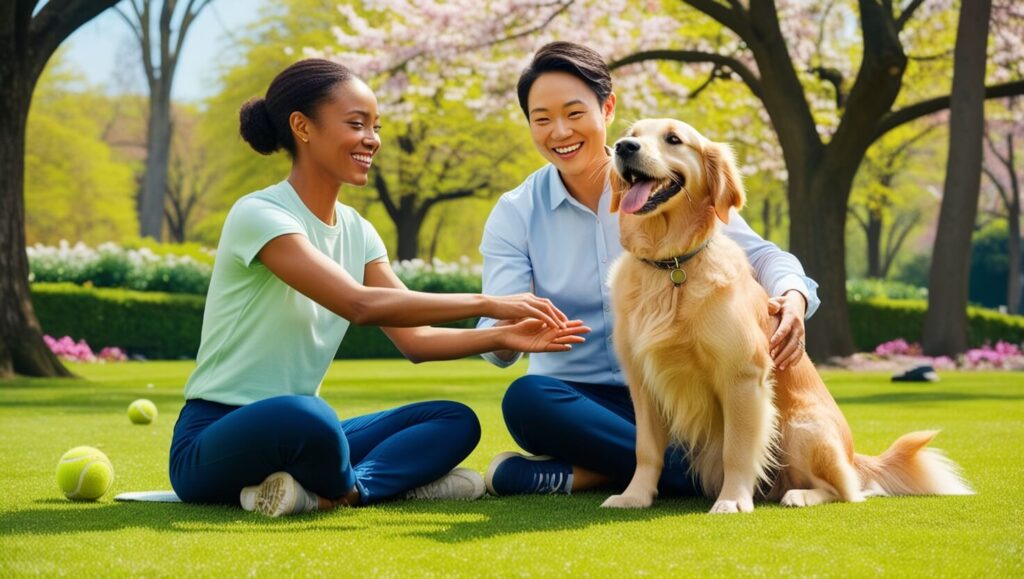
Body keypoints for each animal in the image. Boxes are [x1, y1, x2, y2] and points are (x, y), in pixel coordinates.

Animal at [602, 116, 970, 510]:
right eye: (633, 135)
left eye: (673, 139)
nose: (624, 147)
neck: (670, 264)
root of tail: (853, 456)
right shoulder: (643, 382)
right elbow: (645, 450)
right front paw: (634, 496)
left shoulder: (743, 376)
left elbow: (737, 450)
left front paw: (732, 501)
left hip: (800, 429)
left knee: (847, 490)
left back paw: (802, 495)